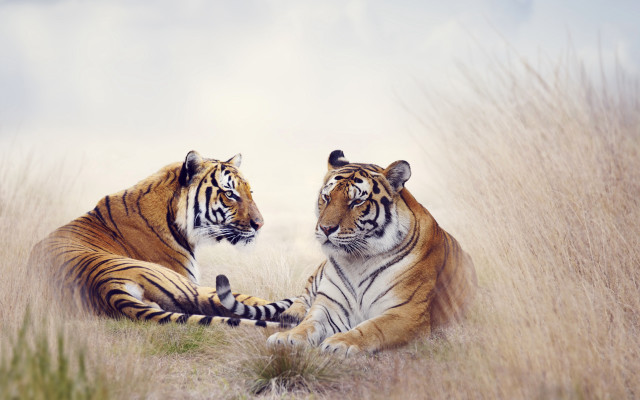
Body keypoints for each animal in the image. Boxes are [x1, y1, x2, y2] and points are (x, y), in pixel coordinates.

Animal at [215, 150, 478, 354]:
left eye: (356, 202)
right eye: (326, 197)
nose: (326, 228)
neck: (358, 260)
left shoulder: (406, 312)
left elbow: (372, 327)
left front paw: (340, 343)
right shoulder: (329, 305)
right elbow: (310, 322)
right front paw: (288, 337)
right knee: (302, 298)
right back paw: (291, 315)